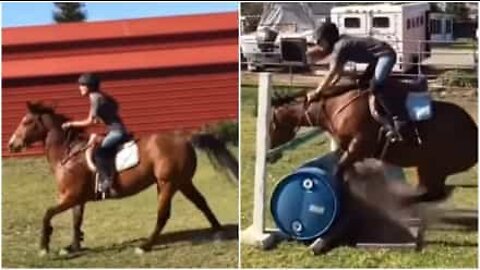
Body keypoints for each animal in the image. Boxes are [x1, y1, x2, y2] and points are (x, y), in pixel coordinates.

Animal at [7, 101, 238, 255]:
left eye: (26, 121)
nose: (11, 145)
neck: (68, 153)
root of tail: (185, 139)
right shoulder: (77, 199)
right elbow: (76, 220)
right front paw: (73, 246)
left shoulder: (70, 197)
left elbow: (47, 214)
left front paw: (44, 246)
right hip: (181, 182)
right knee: (201, 202)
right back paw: (219, 232)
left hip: (168, 184)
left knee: (163, 215)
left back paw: (145, 246)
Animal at [270, 79, 476, 204]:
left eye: (271, 123)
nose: (270, 153)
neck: (335, 107)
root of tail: (473, 128)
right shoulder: (350, 151)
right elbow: (349, 173)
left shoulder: (357, 147)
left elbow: (339, 171)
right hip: (427, 168)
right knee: (431, 192)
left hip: (434, 167)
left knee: (432, 193)